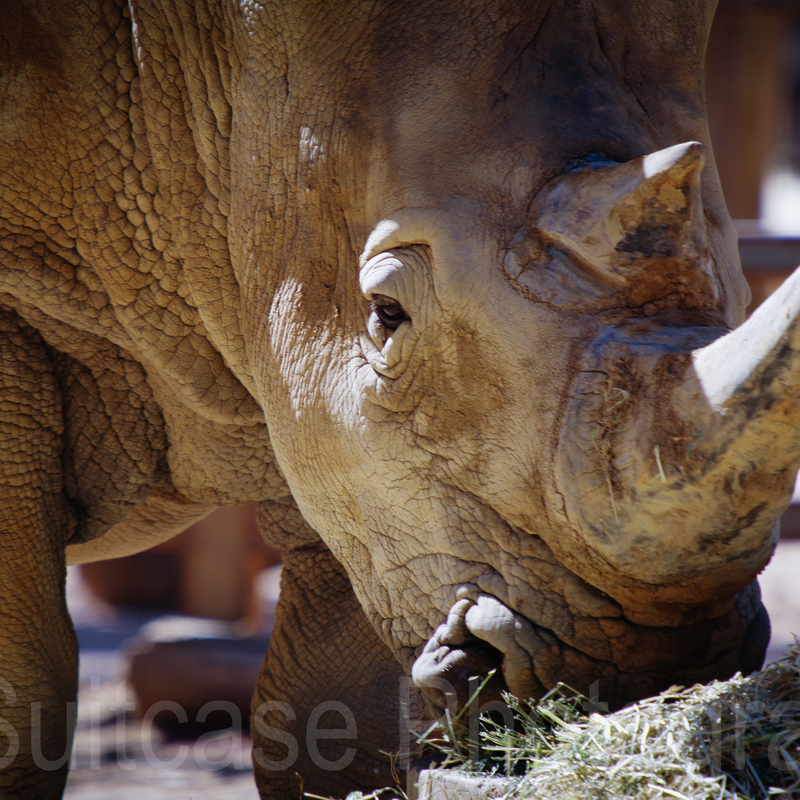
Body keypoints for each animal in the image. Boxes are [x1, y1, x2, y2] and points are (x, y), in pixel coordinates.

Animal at [1, 0, 798, 797]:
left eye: (741, 301)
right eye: (386, 314)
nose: (649, 657)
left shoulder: (368, 474)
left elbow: (332, 710)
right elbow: (25, 687)